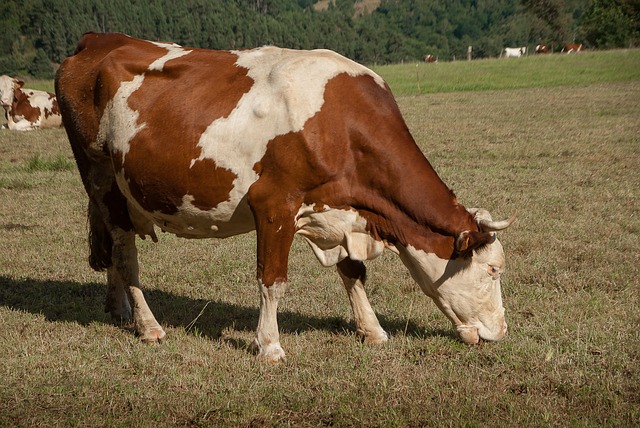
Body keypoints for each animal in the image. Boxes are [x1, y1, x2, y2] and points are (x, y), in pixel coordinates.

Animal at [53, 32, 516, 362]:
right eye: (493, 271)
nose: (501, 332)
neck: (341, 126)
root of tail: (97, 39)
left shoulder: (338, 209)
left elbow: (353, 272)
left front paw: (372, 330)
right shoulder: (274, 206)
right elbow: (272, 280)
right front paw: (269, 346)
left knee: (114, 247)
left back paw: (119, 309)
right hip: (101, 176)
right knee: (124, 250)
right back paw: (147, 325)